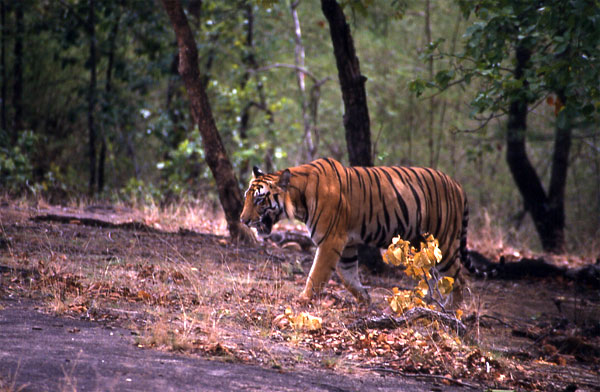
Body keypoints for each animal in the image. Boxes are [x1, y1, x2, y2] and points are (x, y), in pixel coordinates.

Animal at [241, 157, 472, 306]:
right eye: (246, 197)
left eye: (259, 200)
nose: (243, 220)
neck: (299, 199)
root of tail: (458, 185)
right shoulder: (347, 244)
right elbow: (348, 275)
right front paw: (365, 301)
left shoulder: (331, 239)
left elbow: (316, 274)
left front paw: (303, 300)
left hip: (443, 243)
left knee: (459, 279)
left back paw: (450, 313)